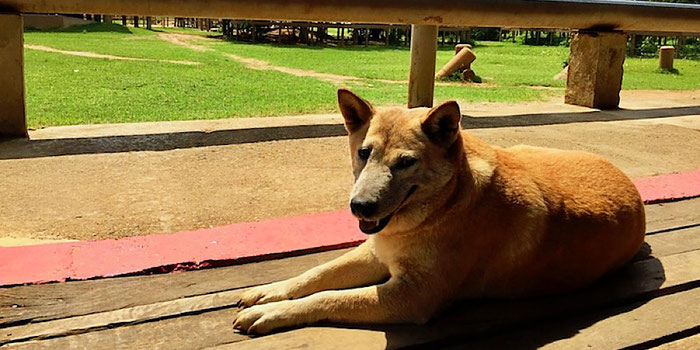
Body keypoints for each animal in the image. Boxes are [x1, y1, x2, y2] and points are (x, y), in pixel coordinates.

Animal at [232, 89, 648, 334]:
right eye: (364, 153)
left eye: (406, 163)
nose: (359, 207)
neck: (445, 203)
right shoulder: (375, 252)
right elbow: (316, 274)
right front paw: (271, 292)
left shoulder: (412, 295)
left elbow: (330, 297)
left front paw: (275, 313)